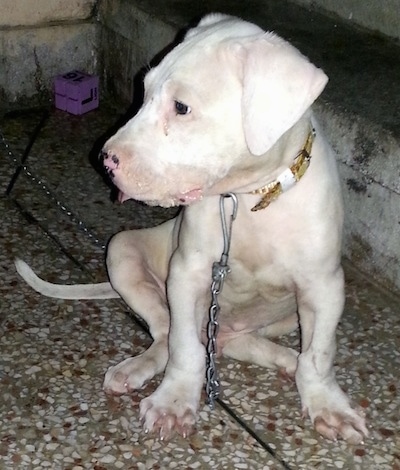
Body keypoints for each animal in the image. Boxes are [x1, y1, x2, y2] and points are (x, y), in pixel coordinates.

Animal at [18, 12, 368, 442]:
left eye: (181, 107)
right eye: (144, 90)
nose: (105, 160)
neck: (247, 197)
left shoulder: (324, 284)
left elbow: (319, 352)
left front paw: (328, 405)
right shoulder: (189, 271)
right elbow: (183, 347)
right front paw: (174, 403)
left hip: (283, 314)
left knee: (237, 342)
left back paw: (288, 361)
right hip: (123, 253)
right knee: (168, 334)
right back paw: (136, 368)